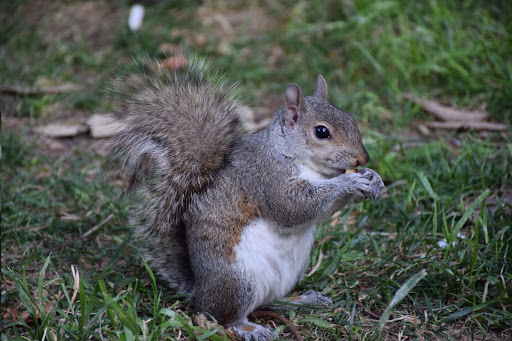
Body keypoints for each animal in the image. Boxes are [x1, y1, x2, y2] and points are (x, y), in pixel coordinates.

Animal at [109, 57, 384, 338]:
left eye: (350, 118)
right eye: (321, 132)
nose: (362, 159)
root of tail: (200, 290)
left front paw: (373, 178)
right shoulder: (266, 176)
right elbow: (292, 207)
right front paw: (349, 182)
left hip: (289, 271)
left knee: (273, 300)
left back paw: (304, 299)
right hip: (237, 281)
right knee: (225, 318)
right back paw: (250, 328)